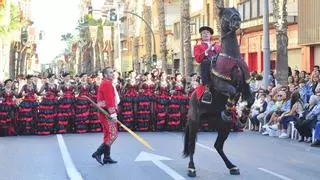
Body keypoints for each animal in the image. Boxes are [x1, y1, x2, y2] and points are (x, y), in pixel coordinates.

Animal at [184, 6, 254, 177]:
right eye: (225, 13)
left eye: (236, 11)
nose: (237, 19)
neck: (232, 57)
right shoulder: (221, 84)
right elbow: (232, 91)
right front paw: (229, 111)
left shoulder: (245, 84)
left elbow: (250, 98)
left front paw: (243, 117)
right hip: (194, 121)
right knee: (192, 144)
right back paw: (191, 168)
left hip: (224, 127)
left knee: (218, 146)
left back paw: (232, 166)